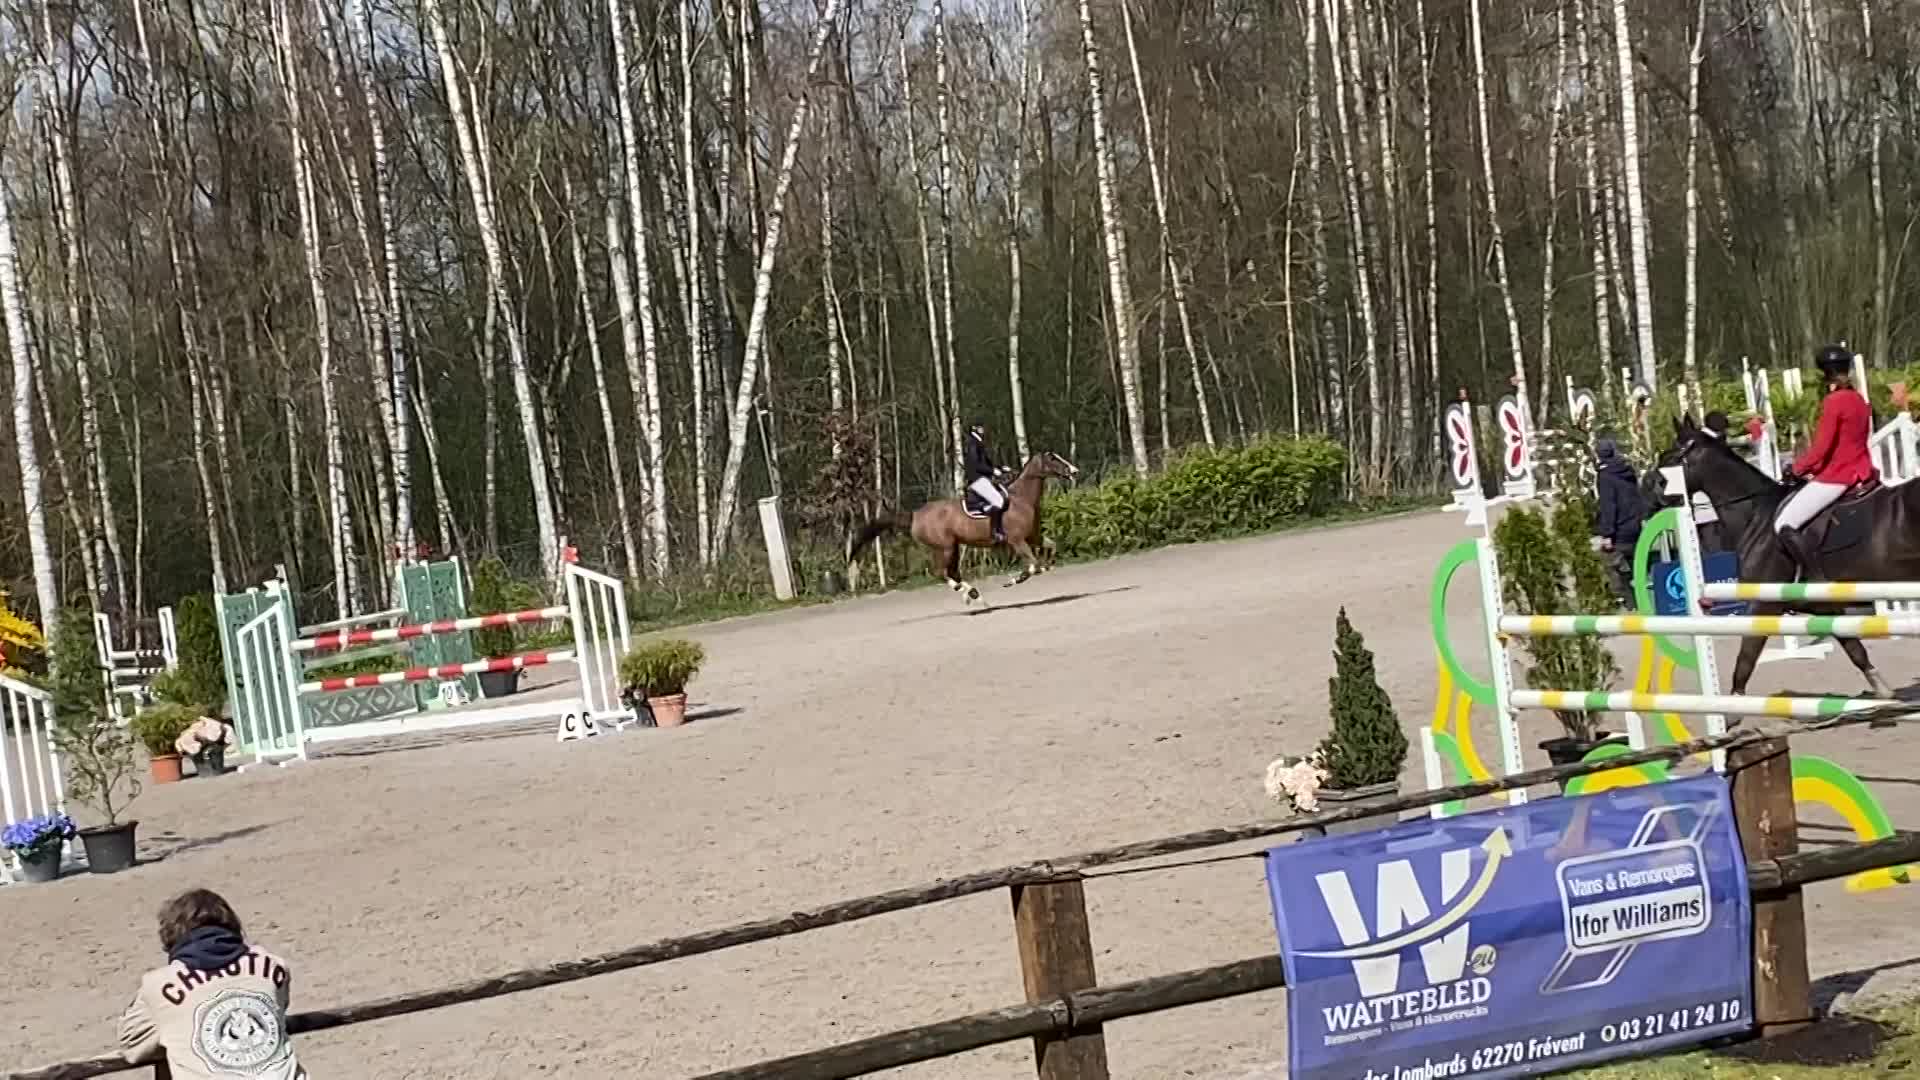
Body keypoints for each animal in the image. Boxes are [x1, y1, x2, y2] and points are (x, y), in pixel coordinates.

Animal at [847, 451, 1079, 604]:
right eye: (1053, 459)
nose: (1074, 470)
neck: (1021, 499)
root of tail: (916, 515)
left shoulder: (1033, 537)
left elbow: (1050, 548)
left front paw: (1047, 564)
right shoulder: (1017, 541)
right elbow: (1033, 566)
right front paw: (1013, 580)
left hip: (954, 547)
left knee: (952, 572)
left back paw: (974, 594)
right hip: (945, 548)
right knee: (941, 572)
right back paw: (968, 592)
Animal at [1655, 413, 1920, 699]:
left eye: (1670, 457)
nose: (1654, 491)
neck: (1756, 515)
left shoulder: (1763, 604)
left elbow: (1746, 658)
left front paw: (1734, 705)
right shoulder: (1825, 608)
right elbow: (1854, 648)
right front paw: (1882, 690)